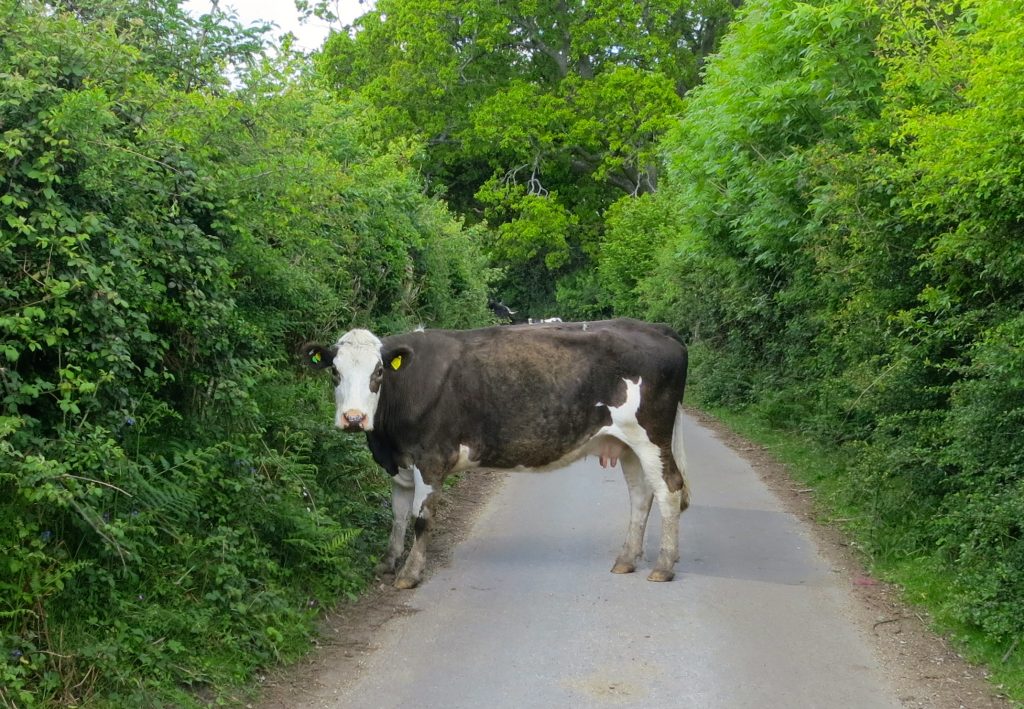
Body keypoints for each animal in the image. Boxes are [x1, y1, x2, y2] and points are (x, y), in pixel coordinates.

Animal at [303, 318, 690, 589]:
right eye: (335, 371)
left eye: (379, 372)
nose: (354, 418)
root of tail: (656, 328)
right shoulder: (401, 464)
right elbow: (397, 517)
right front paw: (387, 563)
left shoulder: (430, 459)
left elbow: (420, 519)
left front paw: (410, 574)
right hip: (627, 445)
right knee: (640, 495)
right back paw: (627, 559)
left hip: (650, 437)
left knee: (670, 490)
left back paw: (663, 566)